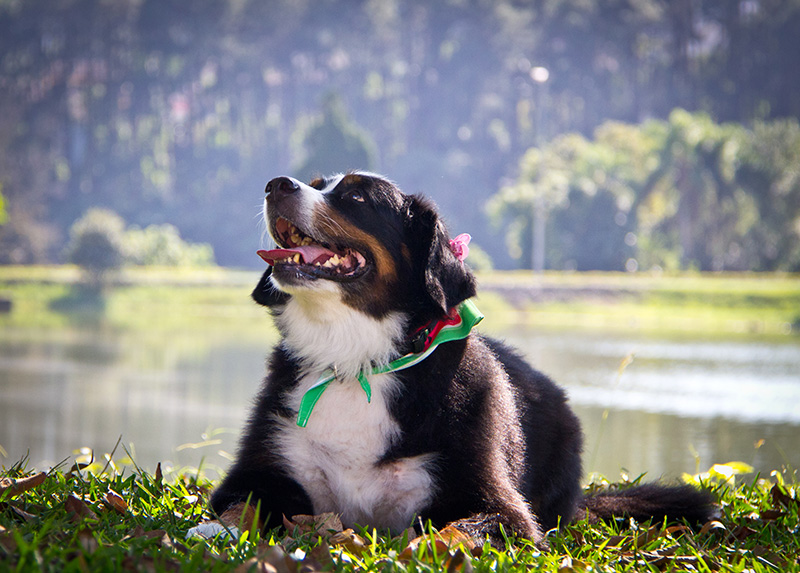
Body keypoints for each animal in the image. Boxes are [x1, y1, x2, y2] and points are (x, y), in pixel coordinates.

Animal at [195, 171, 720, 544]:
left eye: (358, 198)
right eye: (314, 180)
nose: (276, 184)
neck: (356, 362)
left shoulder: (496, 504)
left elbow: (454, 533)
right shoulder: (261, 471)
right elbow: (241, 509)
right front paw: (213, 530)